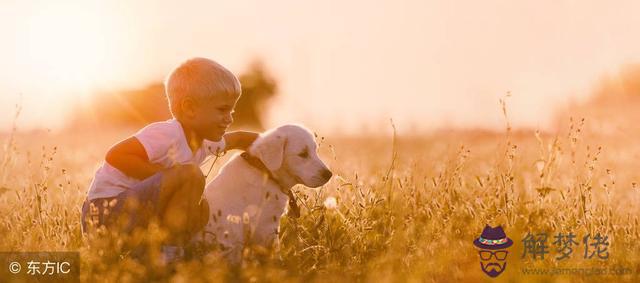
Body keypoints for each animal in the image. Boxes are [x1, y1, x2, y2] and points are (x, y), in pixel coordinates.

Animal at [198, 124, 332, 264]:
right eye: (303, 154)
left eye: (315, 151)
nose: (328, 174)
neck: (265, 171)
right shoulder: (266, 226)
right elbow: (274, 251)